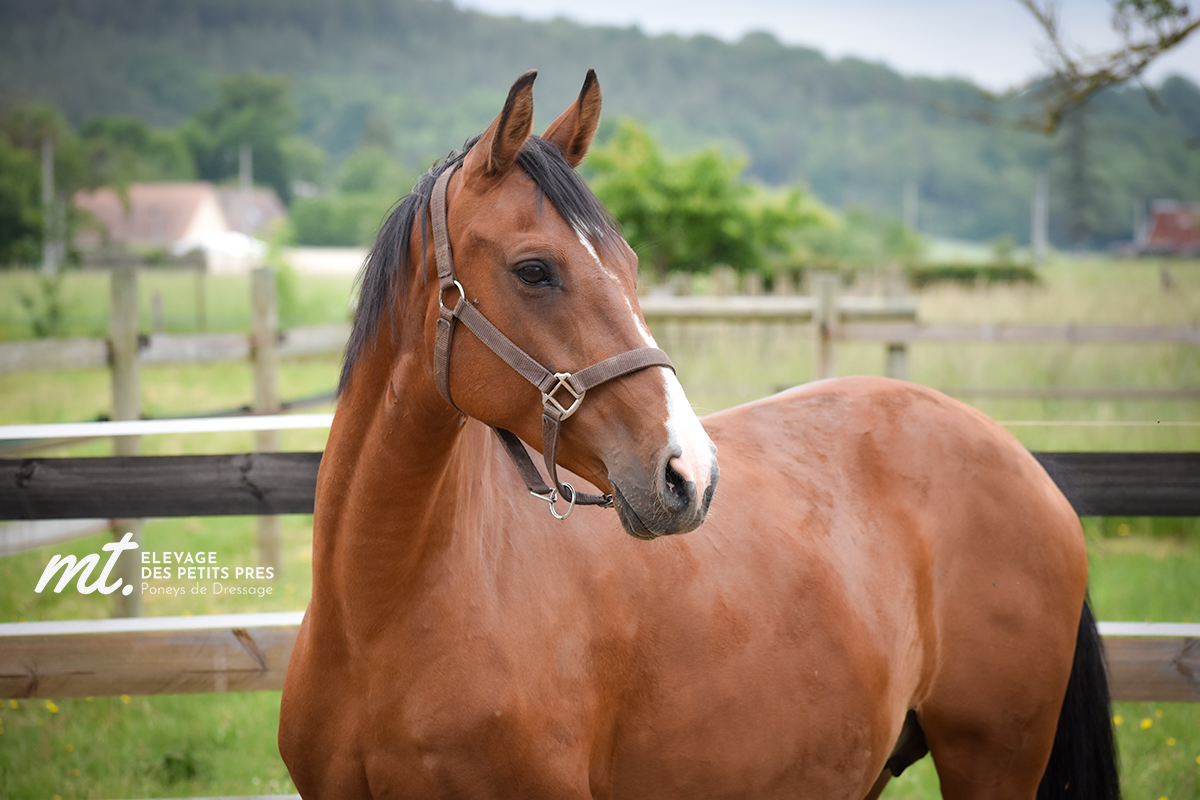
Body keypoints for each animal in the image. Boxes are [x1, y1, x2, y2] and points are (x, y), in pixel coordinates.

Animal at [279, 70, 1119, 799]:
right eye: (534, 270)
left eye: (630, 262)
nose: (690, 474)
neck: (378, 620)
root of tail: (1025, 463)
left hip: (993, 762)